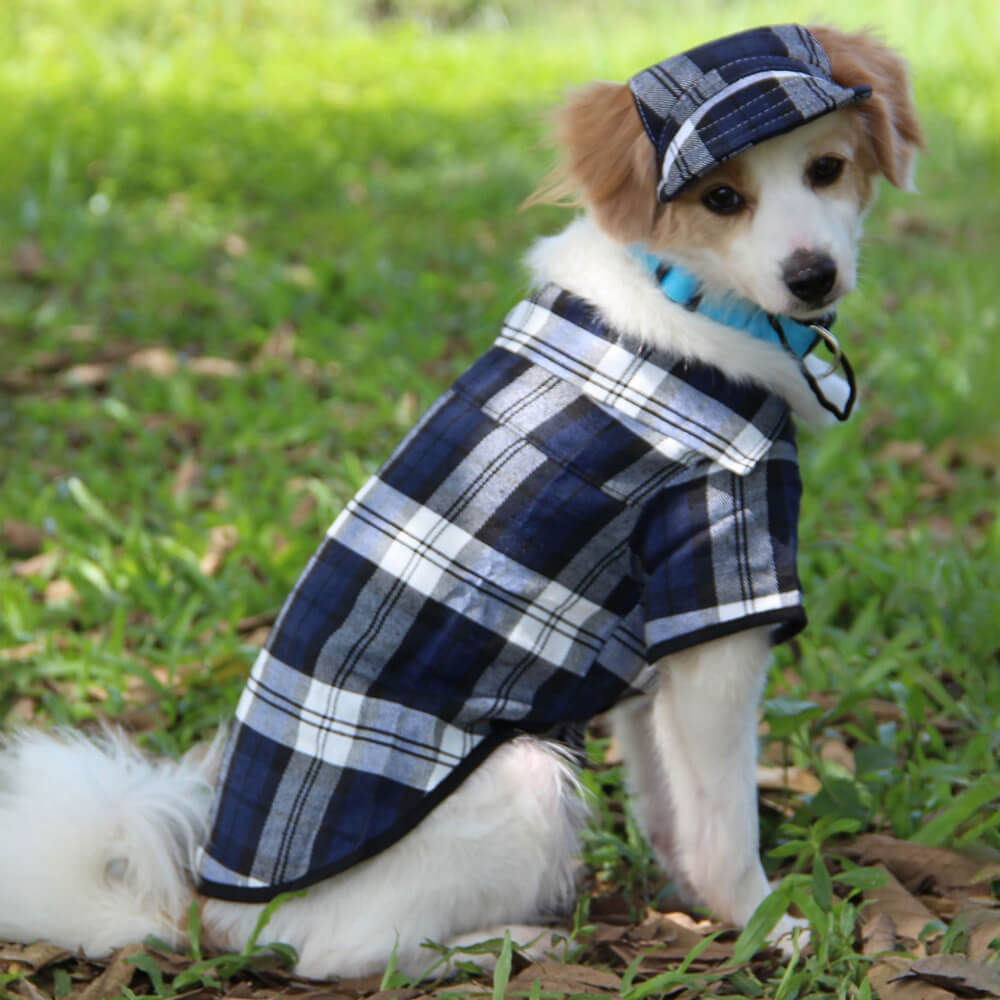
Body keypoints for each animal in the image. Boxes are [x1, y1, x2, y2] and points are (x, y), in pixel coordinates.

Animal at [0, 23, 920, 984]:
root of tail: (209, 914)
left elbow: (671, 802)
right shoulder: (718, 588)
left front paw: (694, 903)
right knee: (348, 954)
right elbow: (725, 821)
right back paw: (513, 943)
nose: (813, 276)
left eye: (827, 168)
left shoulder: (652, 646)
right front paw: (767, 926)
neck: (692, 303)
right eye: (723, 197)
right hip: (524, 777)